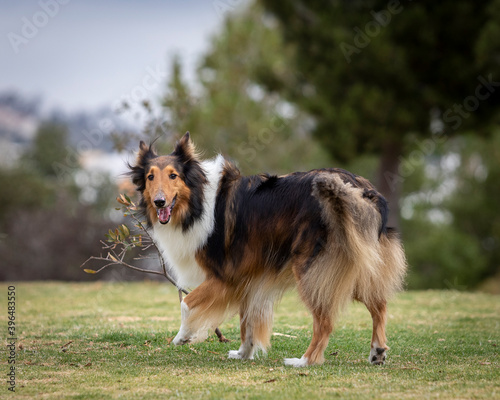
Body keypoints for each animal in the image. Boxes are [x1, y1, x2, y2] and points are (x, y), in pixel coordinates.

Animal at [129, 132, 406, 366]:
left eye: (173, 175)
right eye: (150, 177)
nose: (159, 202)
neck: (198, 201)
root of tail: (359, 188)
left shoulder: (224, 276)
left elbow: (186, 303)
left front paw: (183, 337)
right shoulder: (248, 276)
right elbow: (247, 320)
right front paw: (244, 353)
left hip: (311, 270)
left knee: (325, 321)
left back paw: (305, 361)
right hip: (358, 263)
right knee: (379, 305)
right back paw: (377, 352)